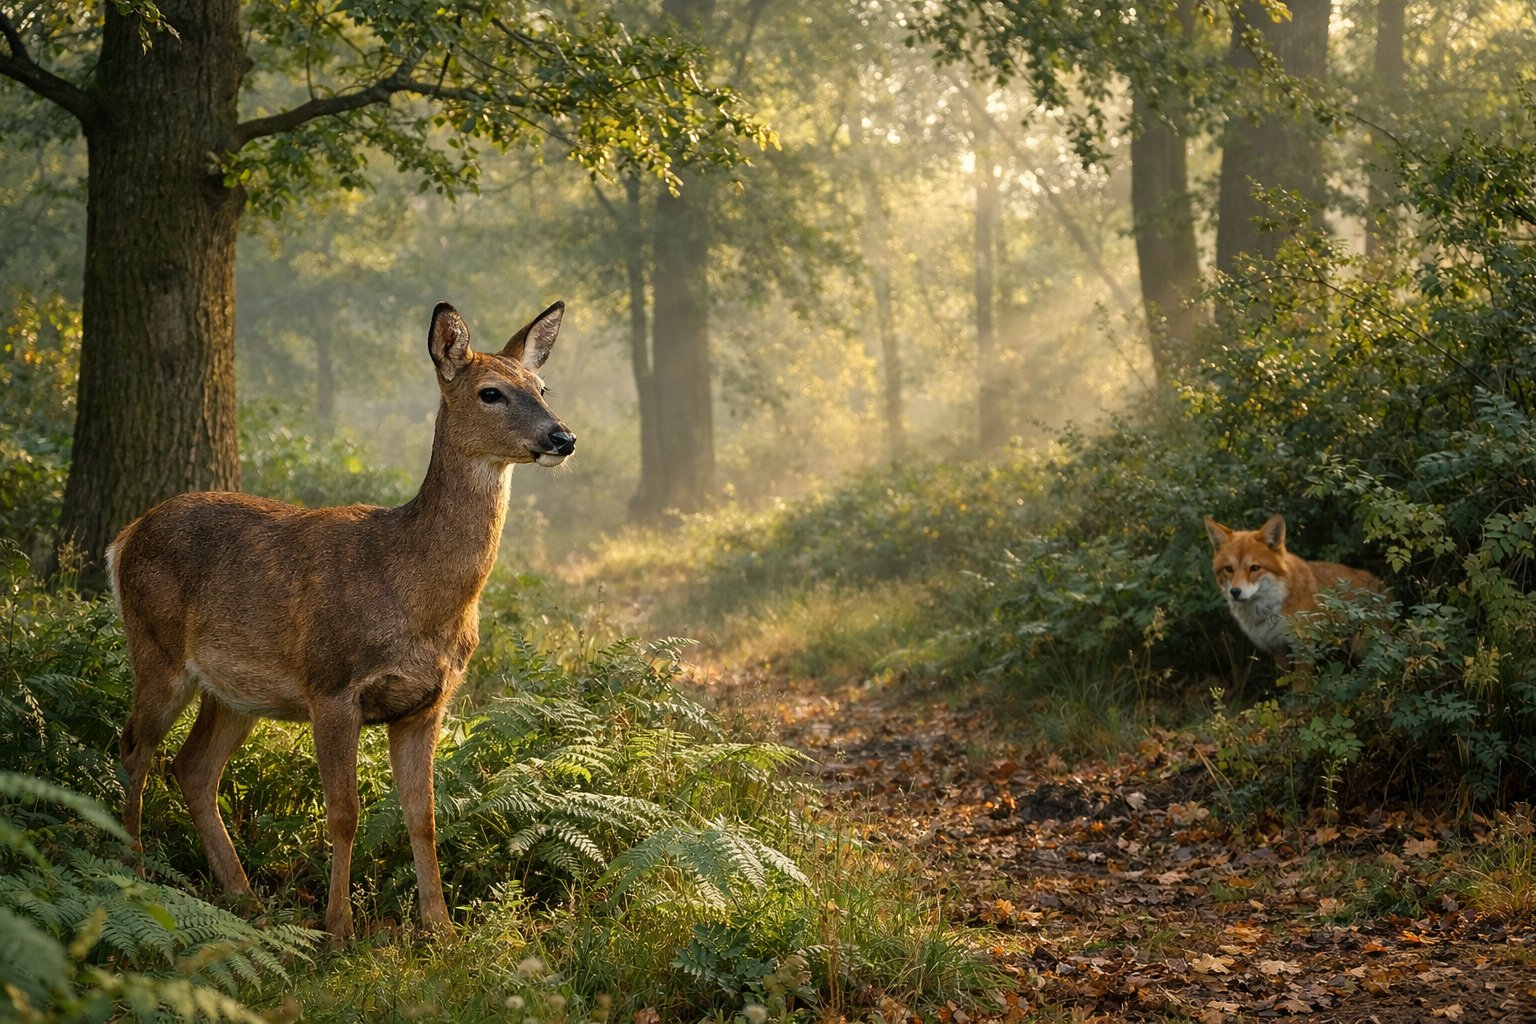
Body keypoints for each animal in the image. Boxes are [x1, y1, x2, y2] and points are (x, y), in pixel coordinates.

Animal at [106, 299, 575, 943]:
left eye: (542, 387)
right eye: (491, 392)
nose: (563, 436)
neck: (415, 588)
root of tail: (124, 538)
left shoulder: (429, 700)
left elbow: (423, 814)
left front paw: (440, 929)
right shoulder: (331, 684)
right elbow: (344, 813)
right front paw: (338, 929)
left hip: (234, 691)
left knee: (193, 767)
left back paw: (245, 898)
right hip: (155, 649)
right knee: (134, 747)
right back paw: (134, 871)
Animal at [1203, 513, 1388, 669]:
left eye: (1255, 568)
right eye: (1229, 569)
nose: (1235, 592)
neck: (1270, 609)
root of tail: (1379, 582)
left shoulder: (1303, 650)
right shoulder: (1279, 652)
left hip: (1361, 650)